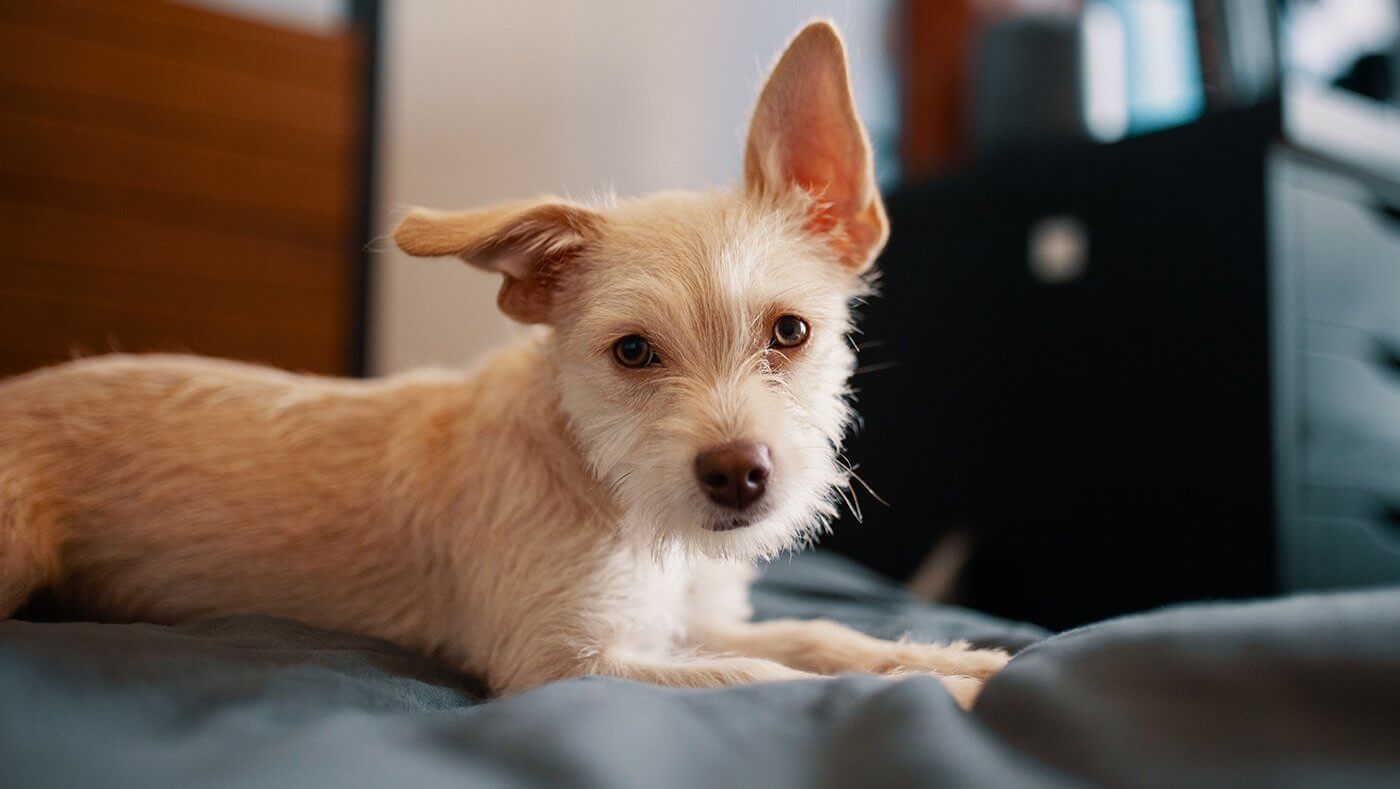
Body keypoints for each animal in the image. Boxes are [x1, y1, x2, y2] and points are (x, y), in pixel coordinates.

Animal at [0, 20, 1008, 707]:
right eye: (632, 351)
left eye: (790, 332)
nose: (738, 475)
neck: (613, 495)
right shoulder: (565, 662)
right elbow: (764, 675)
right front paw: (937, 689)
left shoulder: (694, 618)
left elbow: (820, 634)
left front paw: (955, 659)